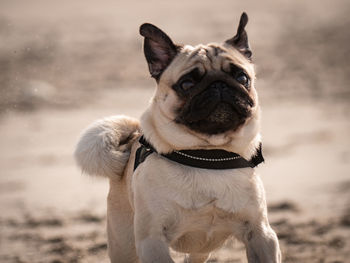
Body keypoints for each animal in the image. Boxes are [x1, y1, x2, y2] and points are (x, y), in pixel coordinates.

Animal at [74, 12, 282, 263]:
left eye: (242, 77)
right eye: (187, 84)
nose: (219, 85)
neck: (209, 154)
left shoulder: (261, 235)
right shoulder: (152, 241)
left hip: (201, 251)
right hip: (124, 244)